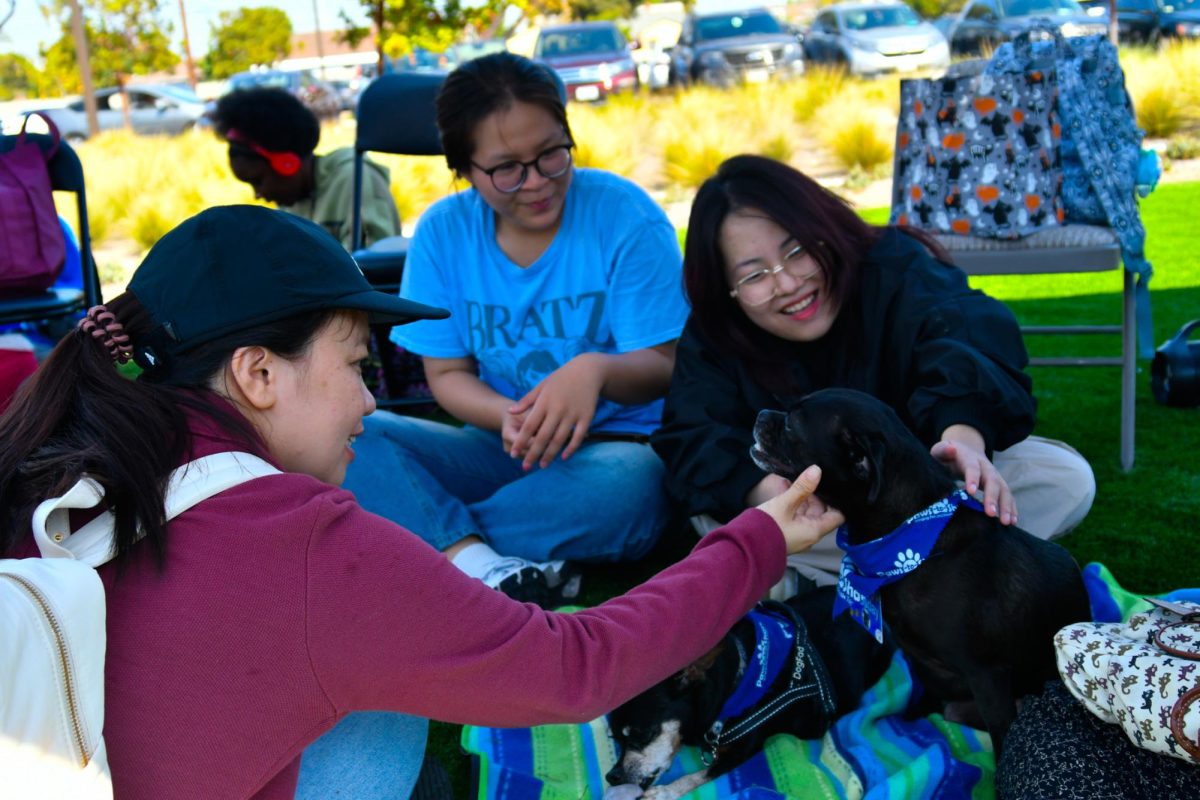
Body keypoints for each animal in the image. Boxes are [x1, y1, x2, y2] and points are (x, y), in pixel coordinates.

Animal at [604, 585, 897, 796]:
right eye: (614, 738)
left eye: (642, 734)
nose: (611, 776)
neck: (736, 686)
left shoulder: (744, 750)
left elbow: (698, 776)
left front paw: (665, 792)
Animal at [753, 391, 1094, 762]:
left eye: (791, 424)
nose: (761, 415)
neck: (911, 540)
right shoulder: (924, 664)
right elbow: (922, 698)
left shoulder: (988, 676)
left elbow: (1002, 740)